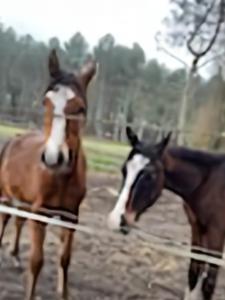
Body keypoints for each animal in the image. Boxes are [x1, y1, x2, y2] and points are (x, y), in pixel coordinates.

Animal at [0, 49, 96, 300]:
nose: (54, 157)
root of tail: (14, 139)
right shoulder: (40, 214)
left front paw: (64, 294)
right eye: (46, 102)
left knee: (18, 221)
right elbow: (36, 261)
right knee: (5, 220)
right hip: (6, 196)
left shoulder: (71, 217)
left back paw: (15, 256)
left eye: (80, 108)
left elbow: (65, 260)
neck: (61, 178)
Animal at [107, 126, 225, 300]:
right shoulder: (197, 228)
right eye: (124, 170)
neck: (208, 183)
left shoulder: (216, 235)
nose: (116, 220)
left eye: (150, 175)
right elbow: (193, 273)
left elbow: (208, 284)